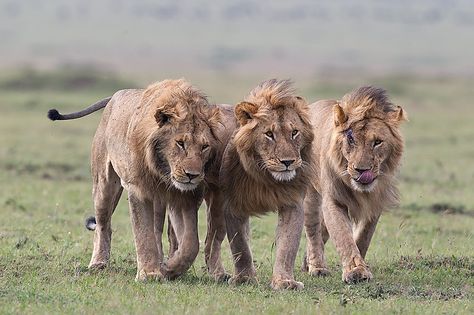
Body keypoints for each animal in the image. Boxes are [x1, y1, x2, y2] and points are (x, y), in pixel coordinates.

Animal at [47, 79, 231, 282]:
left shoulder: (185, 196)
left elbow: (190, 244)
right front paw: (149, 274)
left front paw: (170, 268)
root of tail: (115, 95)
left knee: (158, 230)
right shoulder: (138, 189)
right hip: (104, 183)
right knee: (103, 225)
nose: (192, 175)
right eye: (180, 143)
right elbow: (143, 233)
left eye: (205, 146)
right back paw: (98, 263)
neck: (163, 169)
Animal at [219, 79, 314, 292]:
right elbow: (240, 246)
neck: (267, 179)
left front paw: (284, 281)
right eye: (269, 134)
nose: (288, 162)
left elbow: (287, 247)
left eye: (294, 132)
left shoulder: (292, 203)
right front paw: (245, 278)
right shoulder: (232, 205)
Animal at [302, 86, 406, 284]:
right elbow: (343, 236)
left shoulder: (375, 202)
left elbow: (363, 237)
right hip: (311, 194)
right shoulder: (333, 200)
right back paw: (317, 267)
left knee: (322, 230)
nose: (361, 170)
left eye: (377, 142)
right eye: (351, 140)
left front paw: (360, 267)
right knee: (313, 231)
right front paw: (355, 271)